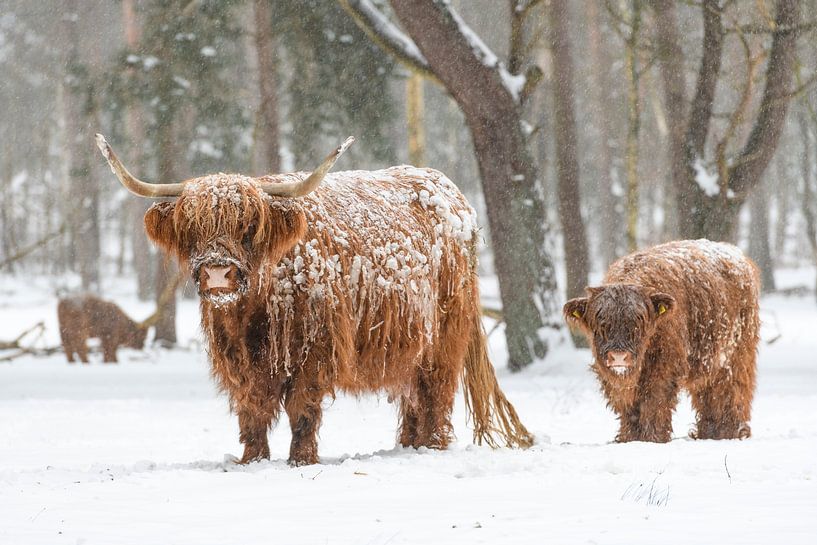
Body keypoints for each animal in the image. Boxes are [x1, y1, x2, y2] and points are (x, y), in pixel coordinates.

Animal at [95, 132, 532, 464]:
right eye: (191, 226)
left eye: (248, 226)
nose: (218, 272)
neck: (253, 313)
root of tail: (451, 193)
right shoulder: (239, 360)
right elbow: (252, 411)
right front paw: (252, 459)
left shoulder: (314, 350)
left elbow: (302, 409)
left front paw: (301, 459)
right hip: (408, 341)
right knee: (412, 395)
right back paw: (409, 445)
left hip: (444, 334)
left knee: (435, 392)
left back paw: (432, 447)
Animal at [560, 240, 760, 444]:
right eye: (602, 323)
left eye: (637, 323)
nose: (619, 357)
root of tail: (734, 252)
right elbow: (629, 409)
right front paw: (628, 438)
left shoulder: (664, 368)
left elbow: (653, 403)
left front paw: (652, 438)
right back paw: (709, 433)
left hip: (735, 355)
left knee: (729, 390)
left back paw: (728, 432)